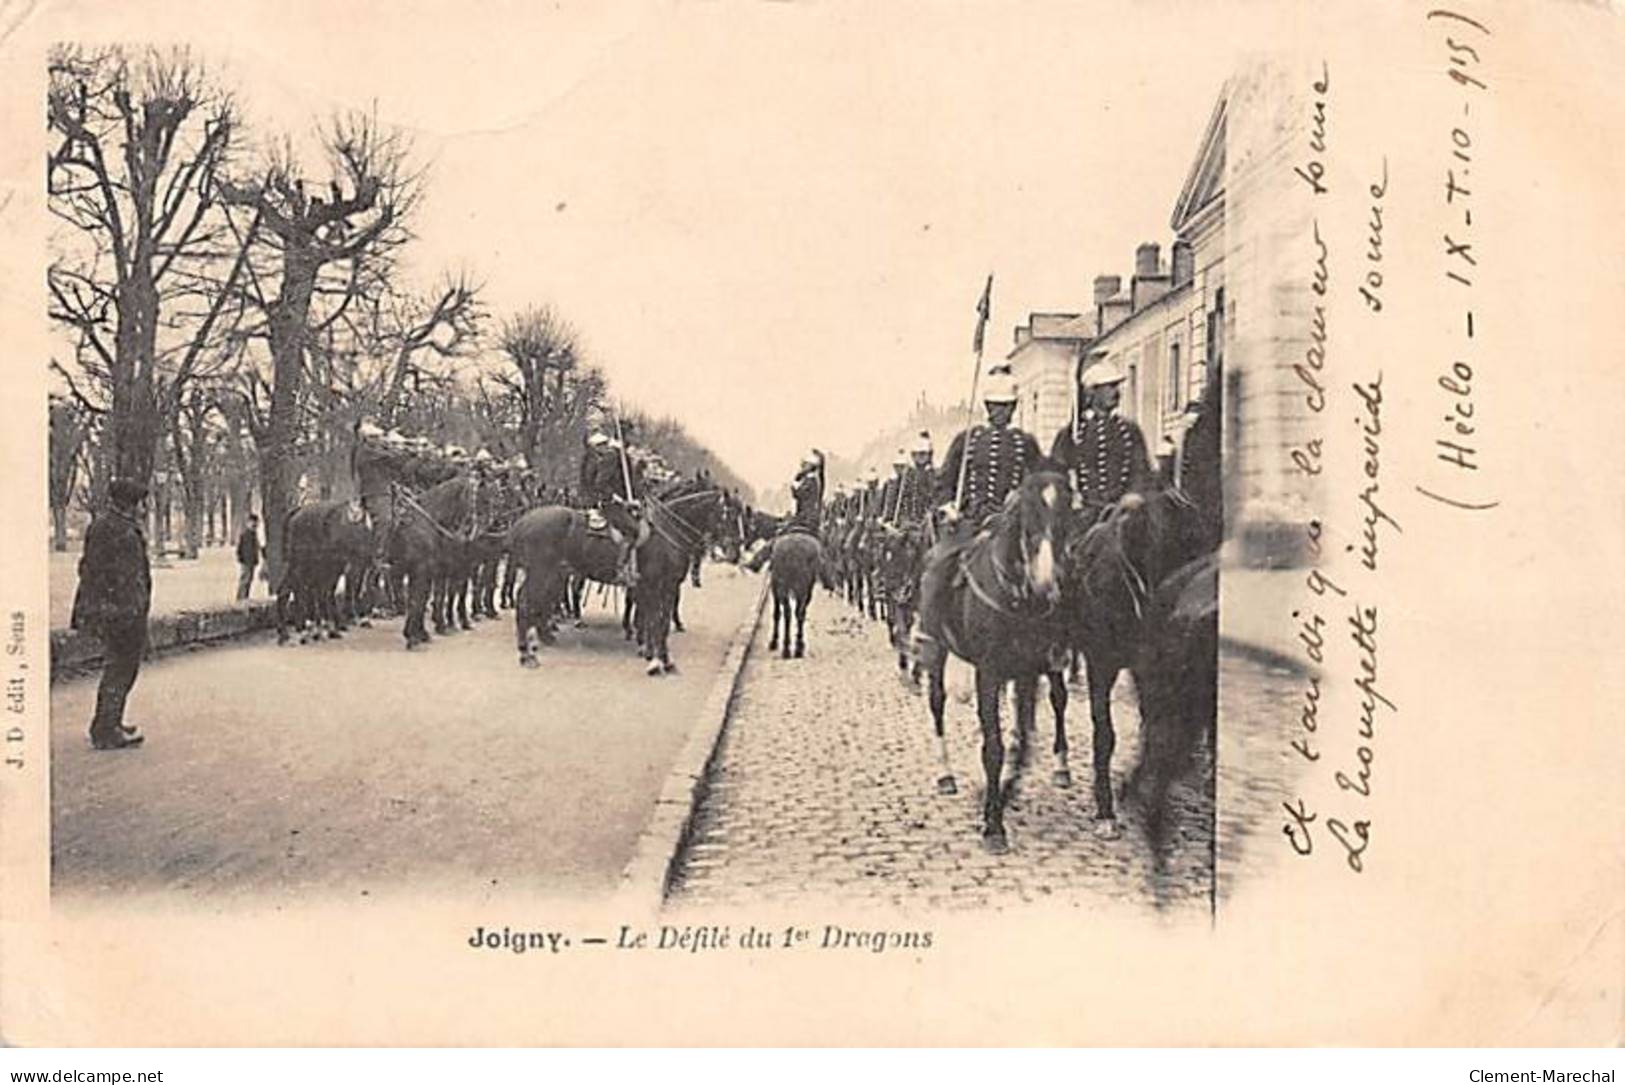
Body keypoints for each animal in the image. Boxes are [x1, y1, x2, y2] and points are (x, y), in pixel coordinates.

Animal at [916, 471, 1079, 851]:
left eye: (1068, 509)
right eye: (1027, 512)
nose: (1050, 581)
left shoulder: (1029, 671)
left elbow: (1024, 739)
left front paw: (1005, 794)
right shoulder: (988, 673)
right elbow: (994, 748)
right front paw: (993, 824)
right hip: (936, 650)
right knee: (937, 702)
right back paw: (946, 774)